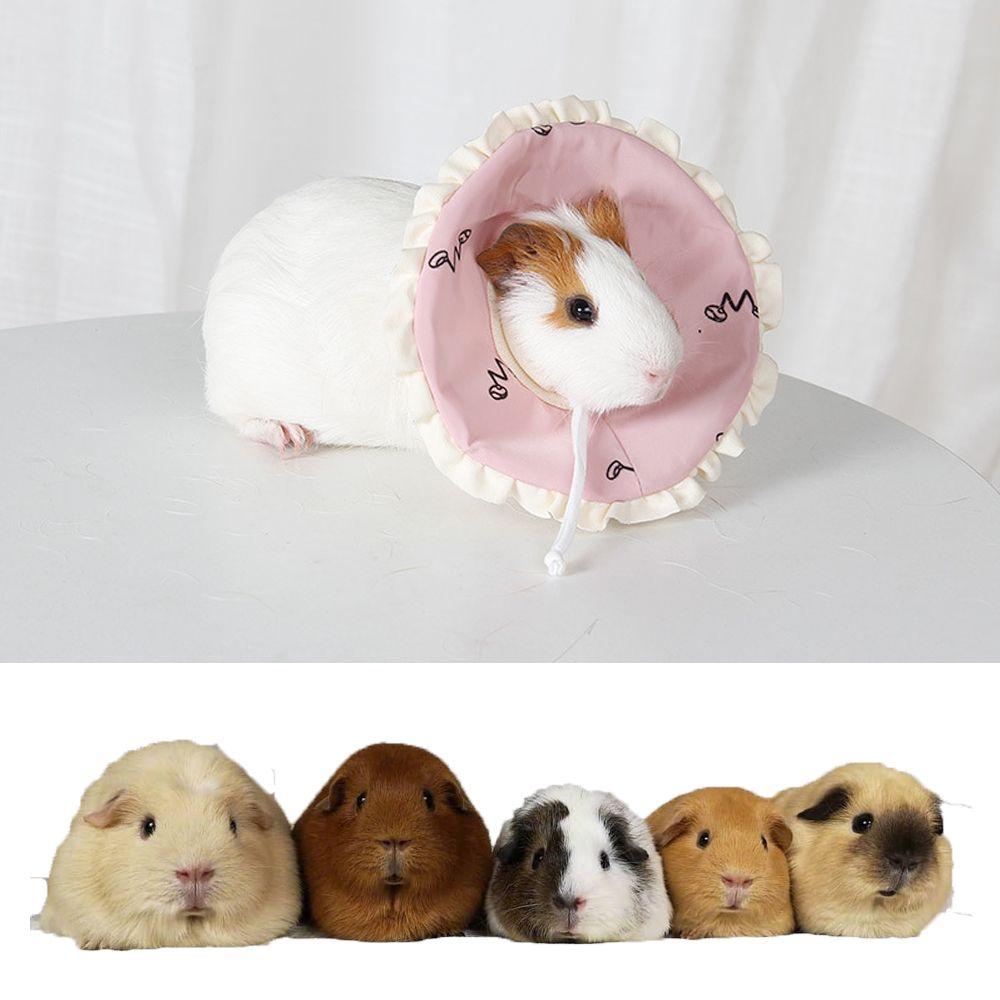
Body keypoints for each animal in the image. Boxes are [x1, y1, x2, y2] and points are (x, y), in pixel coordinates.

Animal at [202, 179, 682, 454]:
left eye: (640, 275)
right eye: (580, 309)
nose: (664, 373)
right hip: (239, 387)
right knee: (235, 416)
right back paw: (291, 437)